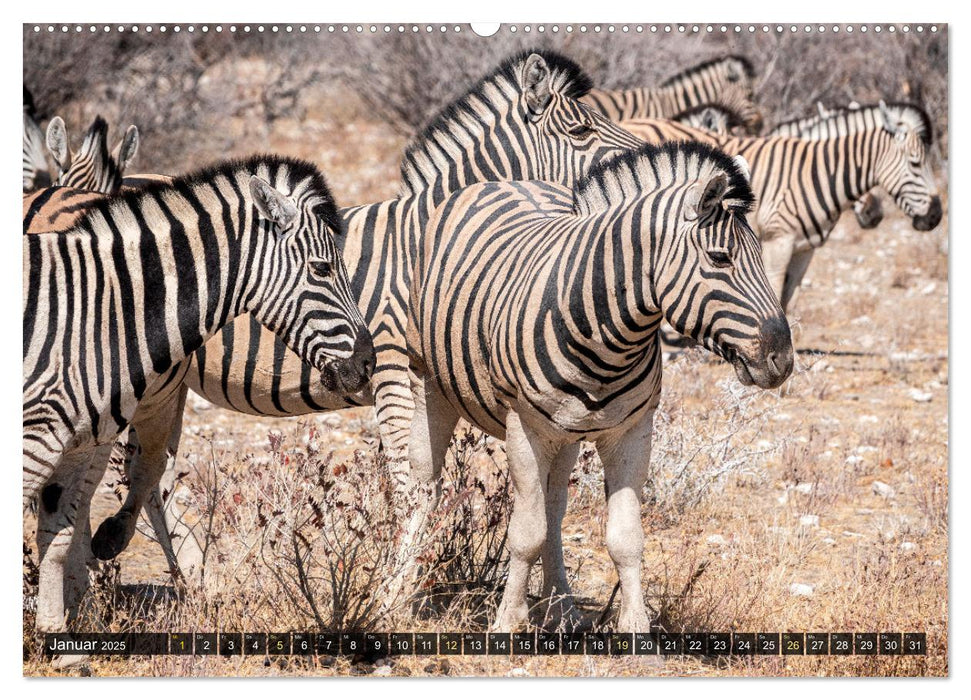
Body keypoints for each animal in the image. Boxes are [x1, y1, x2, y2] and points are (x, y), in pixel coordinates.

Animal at [24, 154, 376, 640]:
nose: (367, 364)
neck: (103, 308)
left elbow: (56, 535)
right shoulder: (36, 439)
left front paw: (60, 632)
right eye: (322, 268)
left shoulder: (75, 440)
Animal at [62, 52, 644, 580]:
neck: (428, 239)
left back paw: (191, 580)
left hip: (166, 382)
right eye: (582, 129)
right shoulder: (392, 370)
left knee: (149, 473)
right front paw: (398, 580)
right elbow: (411, 485)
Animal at [406, 141, 792, 628]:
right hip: (428, 382)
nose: (784, 361)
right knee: (425, 486)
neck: (608, 334)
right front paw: (508, 622)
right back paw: (403, 591)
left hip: (566, 433)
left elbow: (625, 538)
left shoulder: (632, 432)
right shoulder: (524, 429)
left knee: (554, 505)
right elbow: (525, 533)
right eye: (720, 258)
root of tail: (501, 180)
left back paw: (562, 606)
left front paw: (636, 629)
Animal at [620, 101, 944, 312]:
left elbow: (791, 300)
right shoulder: (778, 241)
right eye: (916, 163)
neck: (814, 173)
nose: (936, 217)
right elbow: (771, 295)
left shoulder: (805, 249)